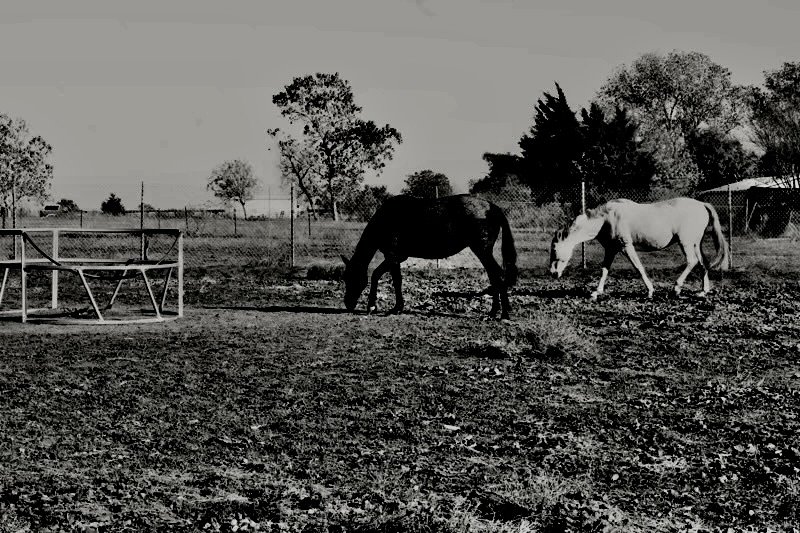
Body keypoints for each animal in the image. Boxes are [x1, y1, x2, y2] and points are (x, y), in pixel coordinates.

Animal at [342, 194, 518, 319]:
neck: (387, 219)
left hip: (482, 251)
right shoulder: (396, 259)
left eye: (350, 278)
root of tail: (492, 207)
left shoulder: (392, 257)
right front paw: (397, 308)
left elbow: (376, 275)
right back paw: (495, 312)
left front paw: (372, 306)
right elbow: (397, 281)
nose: (348, 304)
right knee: (494, 276)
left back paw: (501, 314)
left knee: (497, 275)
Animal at [549, 197, 730, 299]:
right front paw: (596, 292)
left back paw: (676, 288)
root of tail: (702, 204)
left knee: (692, 261)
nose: (553, 273)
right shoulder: (611, 250)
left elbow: (638, 267)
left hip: (685, 242)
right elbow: (604, 270)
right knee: (703, 263)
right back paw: (703, 291)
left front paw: (650, 291)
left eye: (554, 250)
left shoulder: (626, 247)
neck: (607, 218)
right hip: (695, 243)